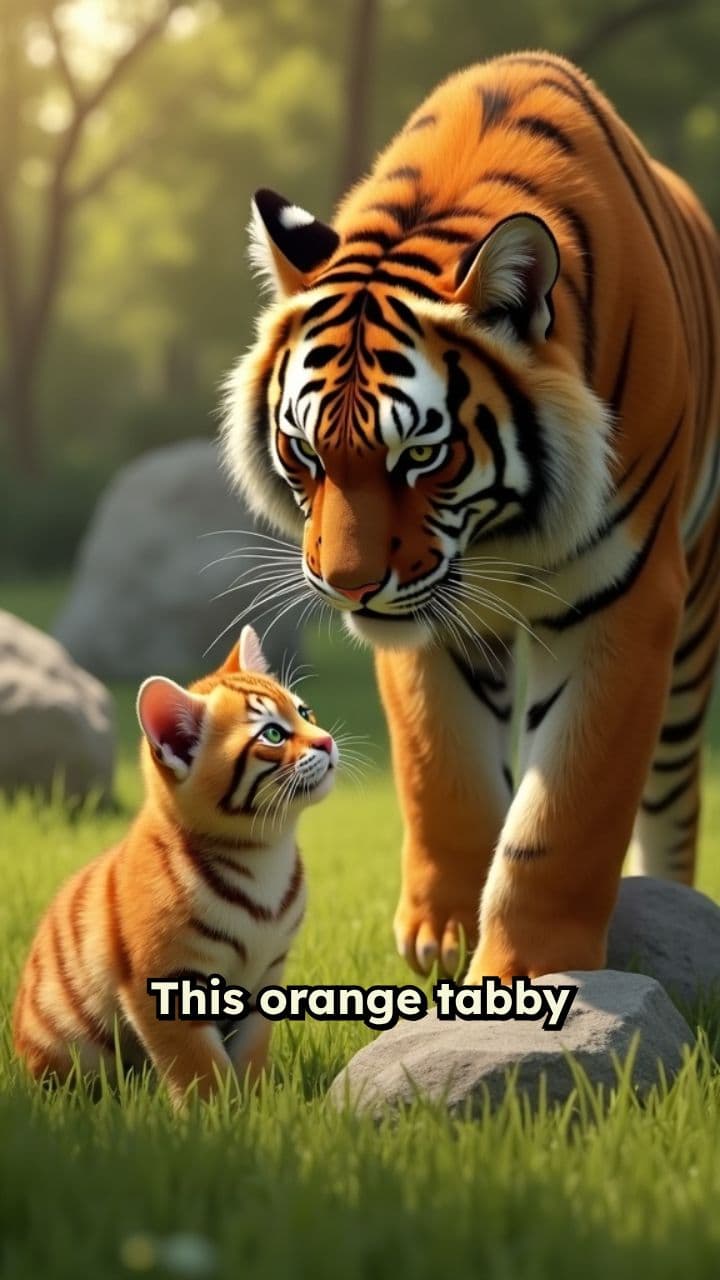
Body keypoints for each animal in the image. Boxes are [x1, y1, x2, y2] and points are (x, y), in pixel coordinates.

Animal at [13, 626, 338, 1102]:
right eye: (274, 735)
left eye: (303, 711)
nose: (327, 741)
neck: (262, 851)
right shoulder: (166, 980)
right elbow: (199, 1064)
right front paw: (219, 1114)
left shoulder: (266, 976)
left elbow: (251, 1051)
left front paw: (257, 1102)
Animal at [221, 51, 720, 986]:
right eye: (305, 452)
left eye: (421, 454)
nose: (346, 585)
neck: (498, 534)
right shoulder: (427, 624)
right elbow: (443, 772)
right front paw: (442, 936)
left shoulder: (627, 599)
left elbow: (567, 813)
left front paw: (529, 967)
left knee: (671, 797)